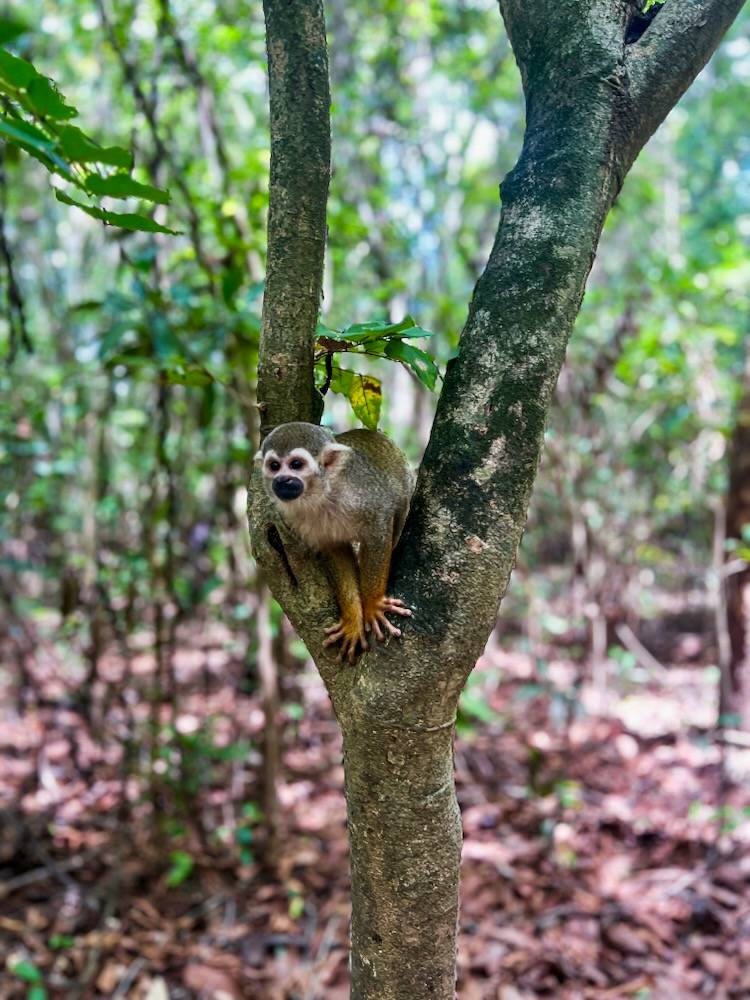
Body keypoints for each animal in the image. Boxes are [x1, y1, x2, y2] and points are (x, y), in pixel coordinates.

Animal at [256, 424, 414, 664]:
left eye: (296, 464)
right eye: (274, 466)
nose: (282, 480)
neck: (321, 495)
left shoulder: (364, 495)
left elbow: (379, 527)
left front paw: (373, 604)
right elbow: (334, 551)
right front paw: (353, 621)